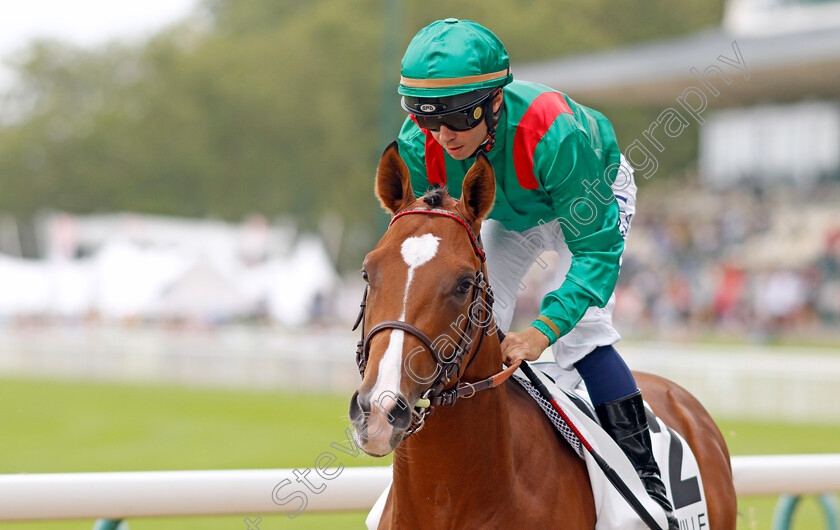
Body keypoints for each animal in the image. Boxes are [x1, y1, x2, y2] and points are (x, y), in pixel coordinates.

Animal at [348, 142, 736, 524]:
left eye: (463, 284)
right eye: (367, 272)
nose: (380, 408)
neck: (447, 499)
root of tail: (681, 397)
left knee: (589, 341)